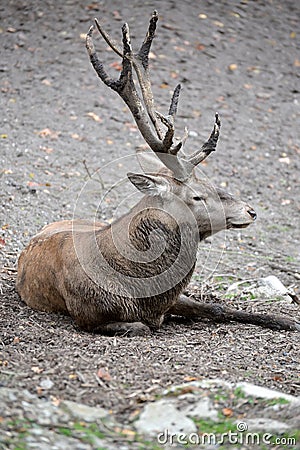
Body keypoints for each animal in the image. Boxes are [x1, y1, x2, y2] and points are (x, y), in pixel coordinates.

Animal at [15, 10, 298, 336]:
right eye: (197, 196)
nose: (250, 210)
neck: (145, 293)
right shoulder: (87, 315)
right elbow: (141, 327)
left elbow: (218, 308)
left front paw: (285, 320)